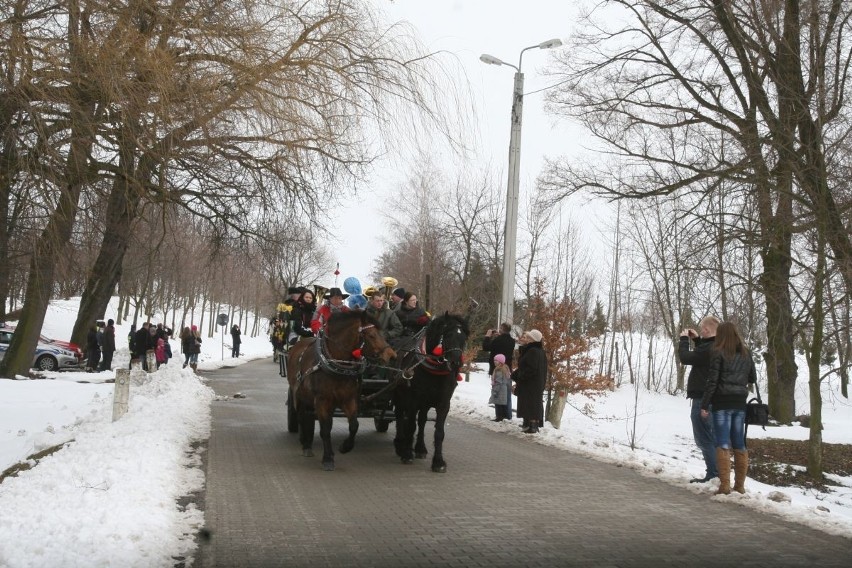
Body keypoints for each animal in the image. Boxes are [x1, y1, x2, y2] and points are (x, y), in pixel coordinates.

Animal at [284, 310, 394, 470]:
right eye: (372, 335)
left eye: (383, 334)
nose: (391, 356)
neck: (335, 363)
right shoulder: (322, 401)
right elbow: (325, 429)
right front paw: (328, 458)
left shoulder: (348, 399)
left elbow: (354, 425)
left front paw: (345, 447)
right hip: (299, 395)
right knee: (301, 417)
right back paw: (306, 444)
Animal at [394, 312, 470, 472]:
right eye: (448, 335)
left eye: (464, 337)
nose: (456, 363)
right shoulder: (413, 400)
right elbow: (411, 425)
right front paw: (407, 454)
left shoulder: (444, 403)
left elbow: (439, 432)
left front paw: (438, 462)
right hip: (399, 396)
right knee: (400, 417)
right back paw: (400, 444)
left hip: (425, 402)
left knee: (422, 420)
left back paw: (420, 448)